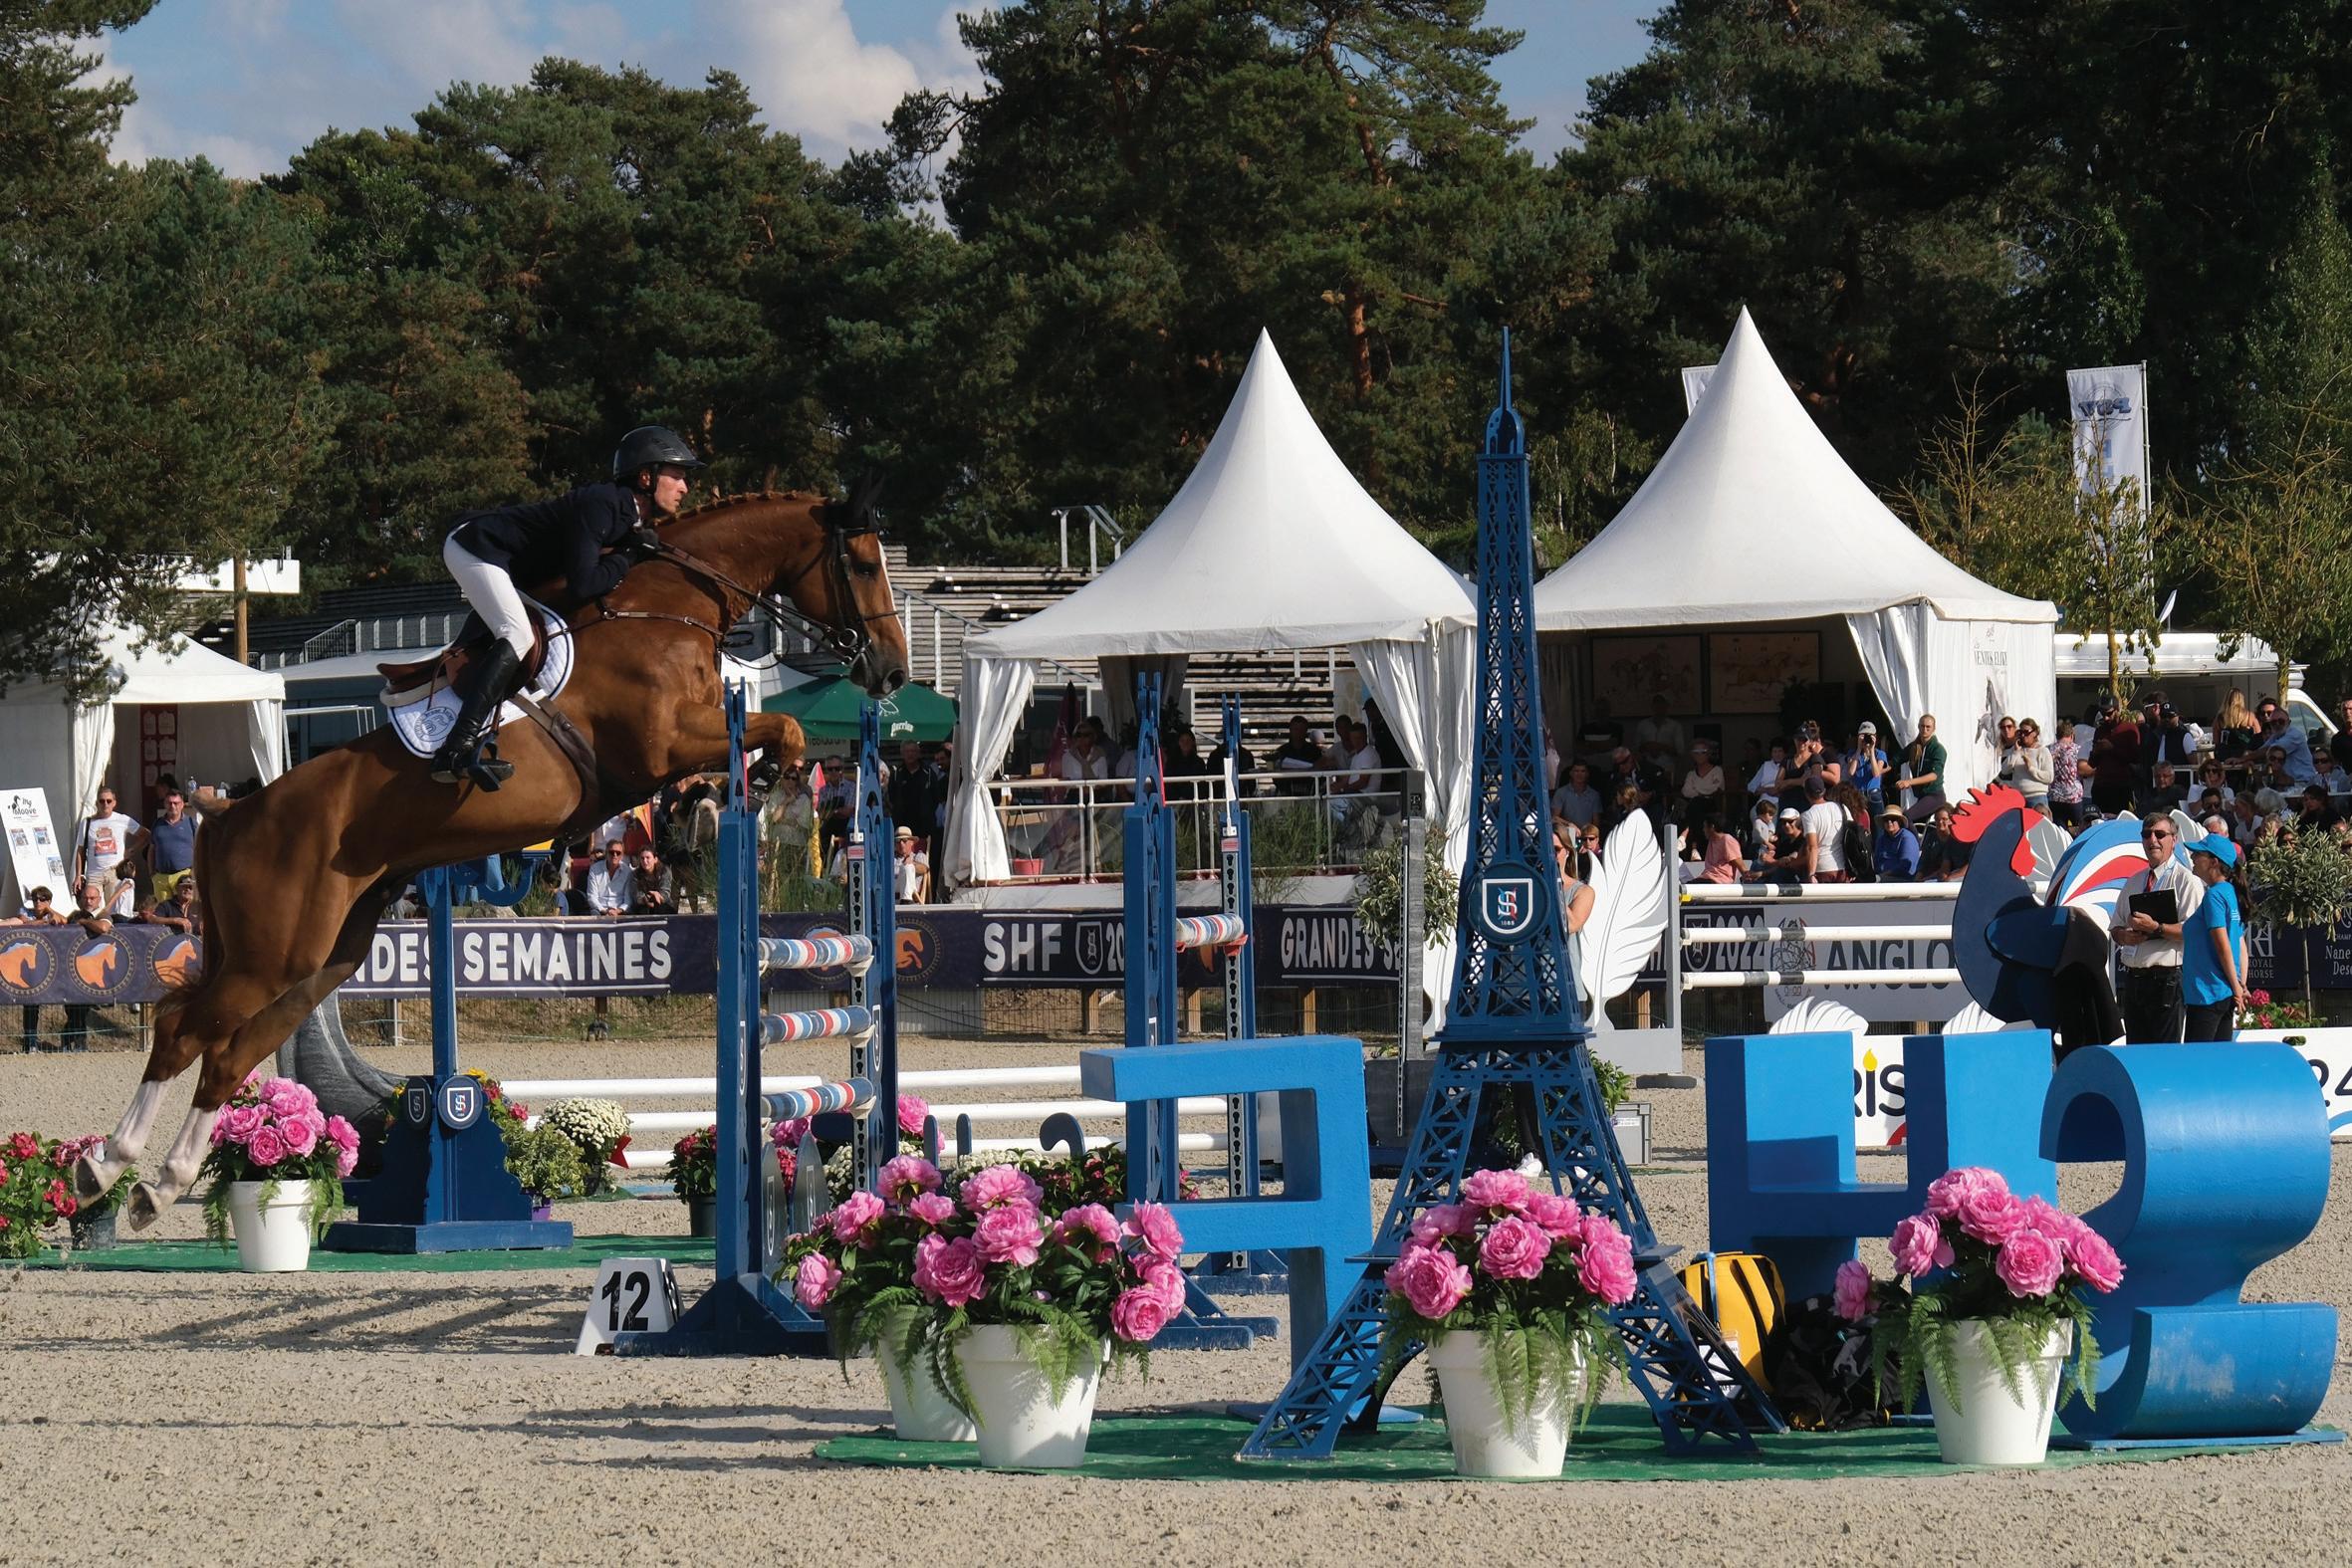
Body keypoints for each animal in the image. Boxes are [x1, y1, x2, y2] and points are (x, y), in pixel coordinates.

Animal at [75, 488, 911, 1226]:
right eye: (863, 562)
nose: (894, 671)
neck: (667, 605)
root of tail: (231, 812)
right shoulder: (667, 742)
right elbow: (784, 728)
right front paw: (762, 778)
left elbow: (777, 734)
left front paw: (754, 784)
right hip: (270, 955)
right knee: (183, 1029)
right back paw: (109, 1168)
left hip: (322, 956)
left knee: (227, 1050)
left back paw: (156, 1185)